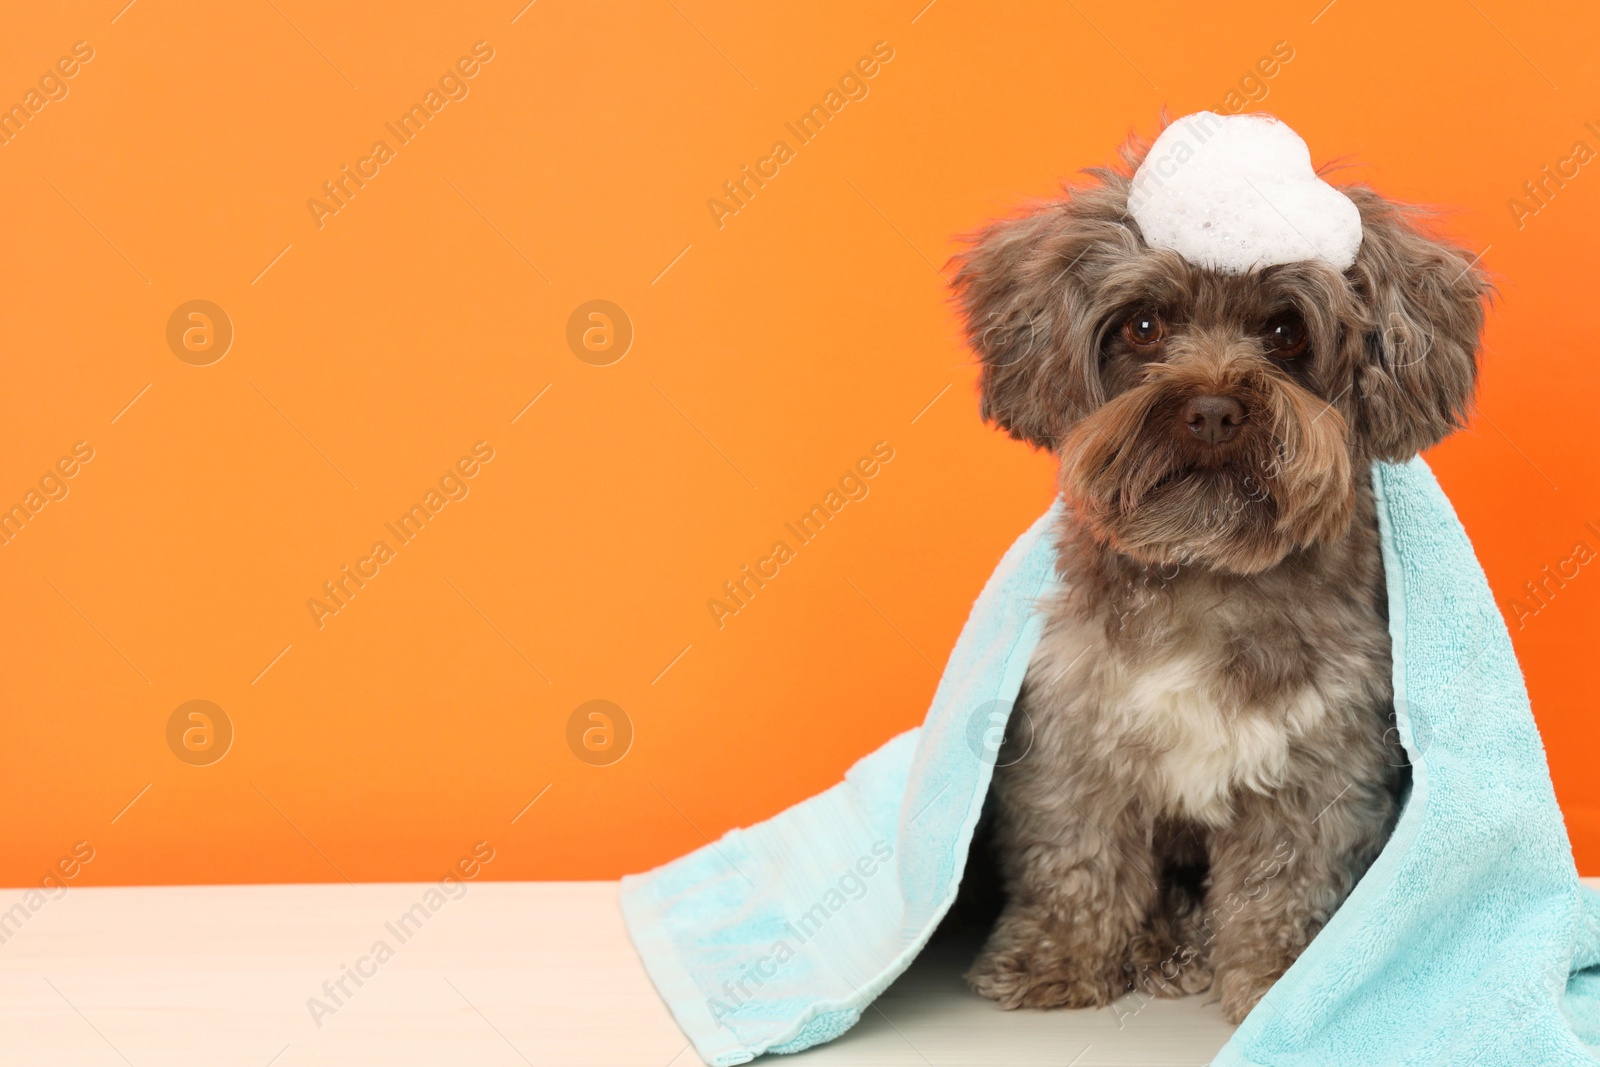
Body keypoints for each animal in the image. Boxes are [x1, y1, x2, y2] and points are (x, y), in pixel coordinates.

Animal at [947, 129, 1484, 1023]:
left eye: (1288, 329)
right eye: (1142, 323)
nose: (1211, 408)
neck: (1207, 568)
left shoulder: (1320, 759)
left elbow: (1285, 879)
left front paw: (1278, 981)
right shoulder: (1071, 733)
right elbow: (1076, 852)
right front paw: (1061, 955)